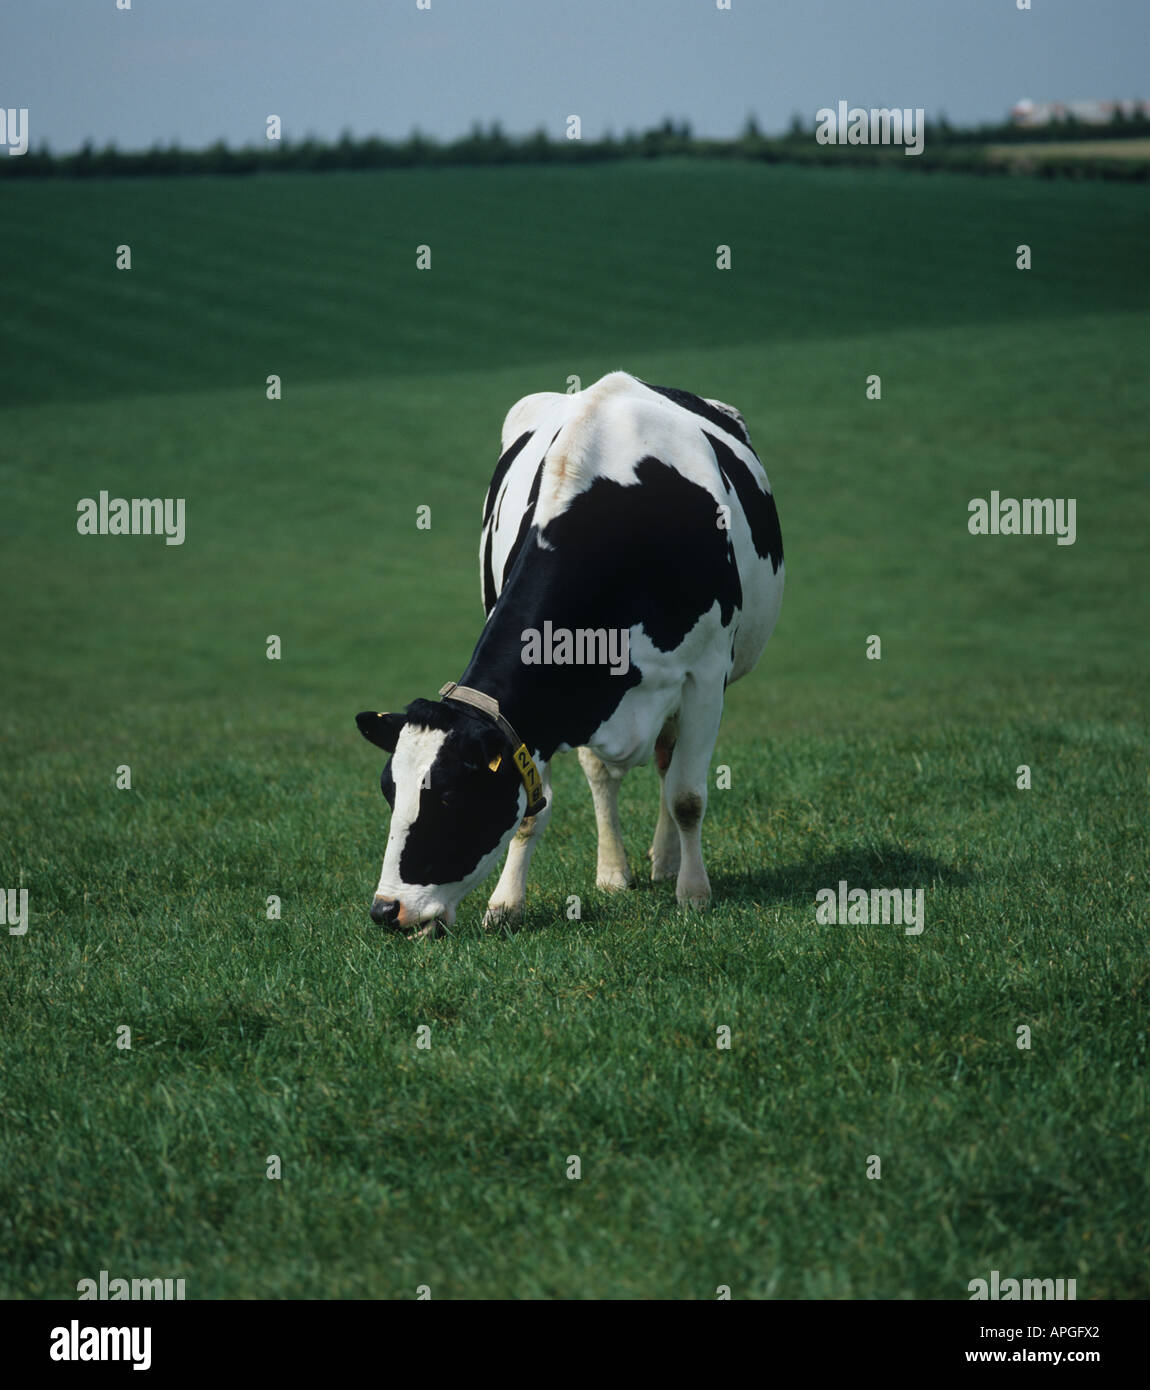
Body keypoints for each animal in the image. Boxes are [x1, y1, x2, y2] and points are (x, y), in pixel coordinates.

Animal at [355, 371, 784, 937]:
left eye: (448, 796)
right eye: (389, 791)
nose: (387, 910)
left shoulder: (706, 676)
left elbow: (688, 796)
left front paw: (694, 894)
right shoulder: (542, 709)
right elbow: (536, 809)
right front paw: (506, 904)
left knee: (668, 769)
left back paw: (667, 863)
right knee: (605, 776)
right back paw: (614, 872)